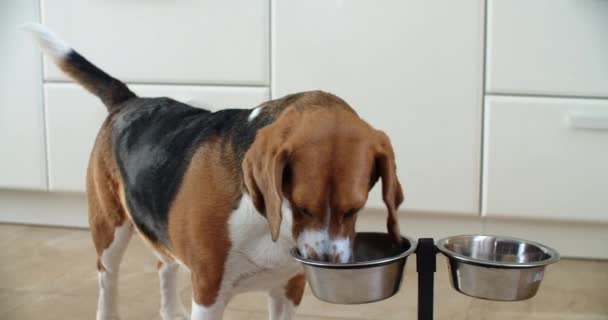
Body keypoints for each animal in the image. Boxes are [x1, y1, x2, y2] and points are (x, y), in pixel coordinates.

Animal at [26, 24, 404, 320]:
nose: (326, 260)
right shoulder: (209, 292)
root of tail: (129, 100)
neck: (269, 222)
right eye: (301, 207)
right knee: (107, 280)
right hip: (110, 228)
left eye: (355, 209)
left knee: (165, 265)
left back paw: (172, 312)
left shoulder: (289, 288)